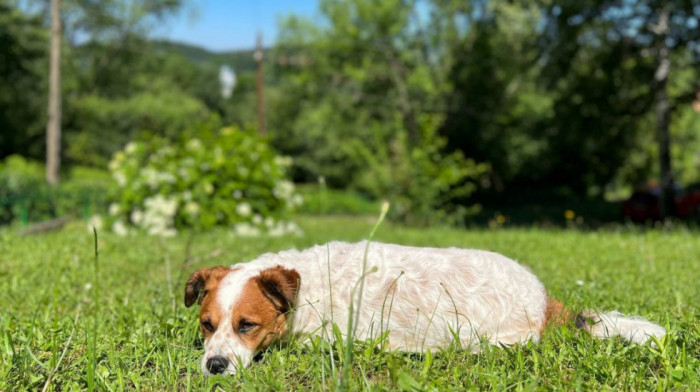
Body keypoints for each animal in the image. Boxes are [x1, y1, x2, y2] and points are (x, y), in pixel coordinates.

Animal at [183, 240, 664, 376]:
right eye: (207, 325)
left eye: (247, 325)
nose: (214, 366)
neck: (305, 290)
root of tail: (546, 301)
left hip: (494, 340)